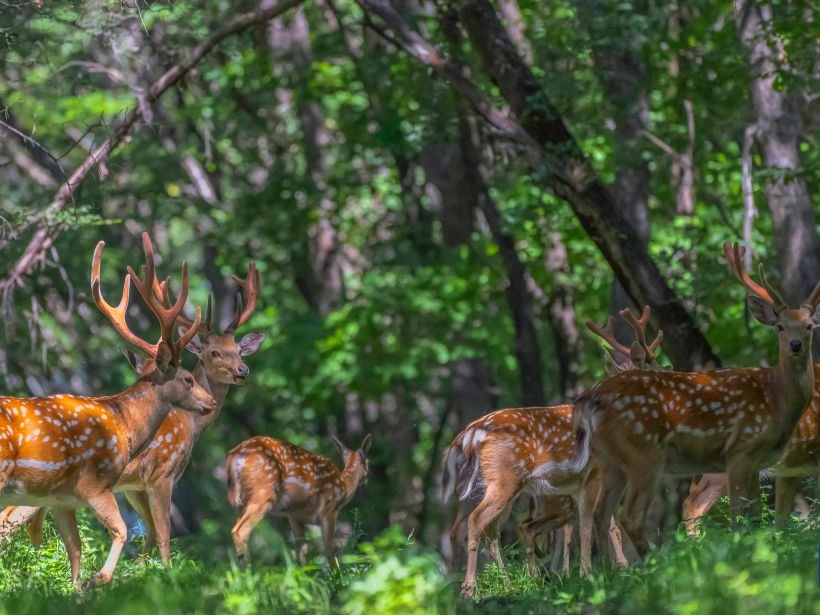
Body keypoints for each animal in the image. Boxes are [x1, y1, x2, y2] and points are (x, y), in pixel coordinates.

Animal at [0, 262, 266, 565]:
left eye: (239, 351)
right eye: (214, 353)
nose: (242, 371)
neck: (190, 426)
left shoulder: (132, 486)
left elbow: (149, 533)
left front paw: (140, 569)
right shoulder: (161, 474)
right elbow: (163, 533)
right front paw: (166, 571)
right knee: (9, 519)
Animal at [226, 433, 372, 568]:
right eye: (368, 463)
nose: (365, 483)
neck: (344, 486)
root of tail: (235, 454)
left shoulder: (296, 517)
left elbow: (302, 551)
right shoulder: (329, 510)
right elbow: (330, 550)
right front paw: (336, 578)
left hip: (242, 500)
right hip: (264, 493)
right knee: (240, 531)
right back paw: (248, 573)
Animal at [442, 307, 662, 598]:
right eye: (651, 364)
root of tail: (470, 433)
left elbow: (599, 523)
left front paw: (608, 570)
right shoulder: (594, 473)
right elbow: (591, 525)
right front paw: (596, 573)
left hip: (493, 487)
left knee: (488, 530)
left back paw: (508, 585)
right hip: (504, 479)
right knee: (475, 523)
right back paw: (469, 588)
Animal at [574, 242, 820, 572]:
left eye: (809, 326)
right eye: (780, 326)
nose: (795, 345)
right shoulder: (744, 454)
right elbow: (751, 518)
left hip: (615, 464)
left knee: (603, 513)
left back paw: (612, 572)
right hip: (650, 458)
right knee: (646, 513)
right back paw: (656, 564)